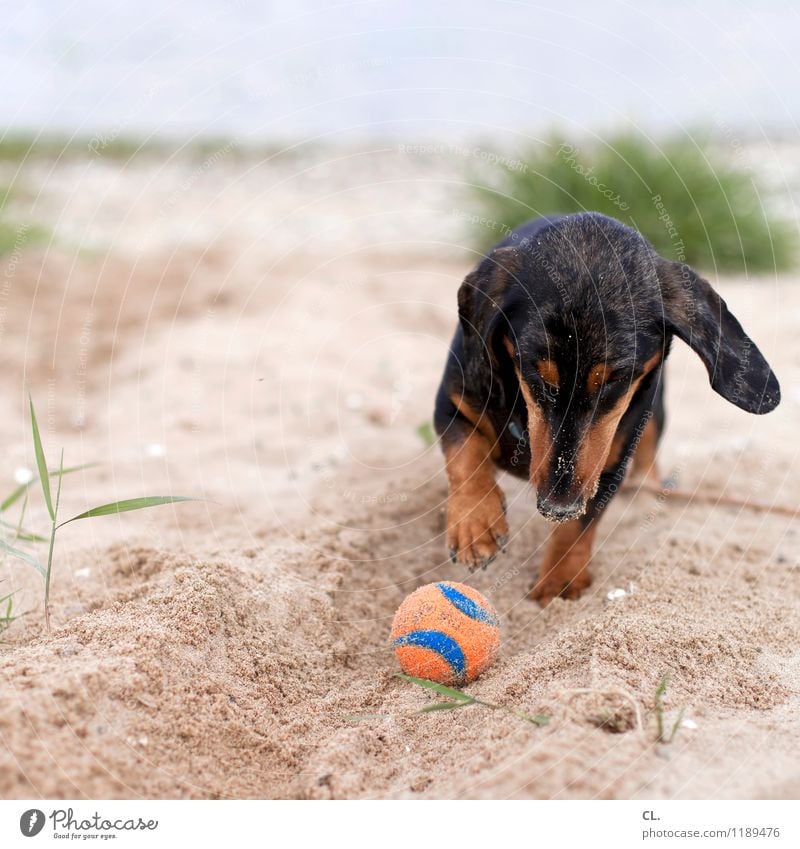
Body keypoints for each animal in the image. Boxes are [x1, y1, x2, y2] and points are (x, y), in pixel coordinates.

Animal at [434, 215, 780, 608]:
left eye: (614, 381)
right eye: (538, 374)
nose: (557, 508)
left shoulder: (609, 465)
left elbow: (580, 526)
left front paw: (558, 585)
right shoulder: (451, 406)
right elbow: (465, 453)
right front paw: (474, 525)